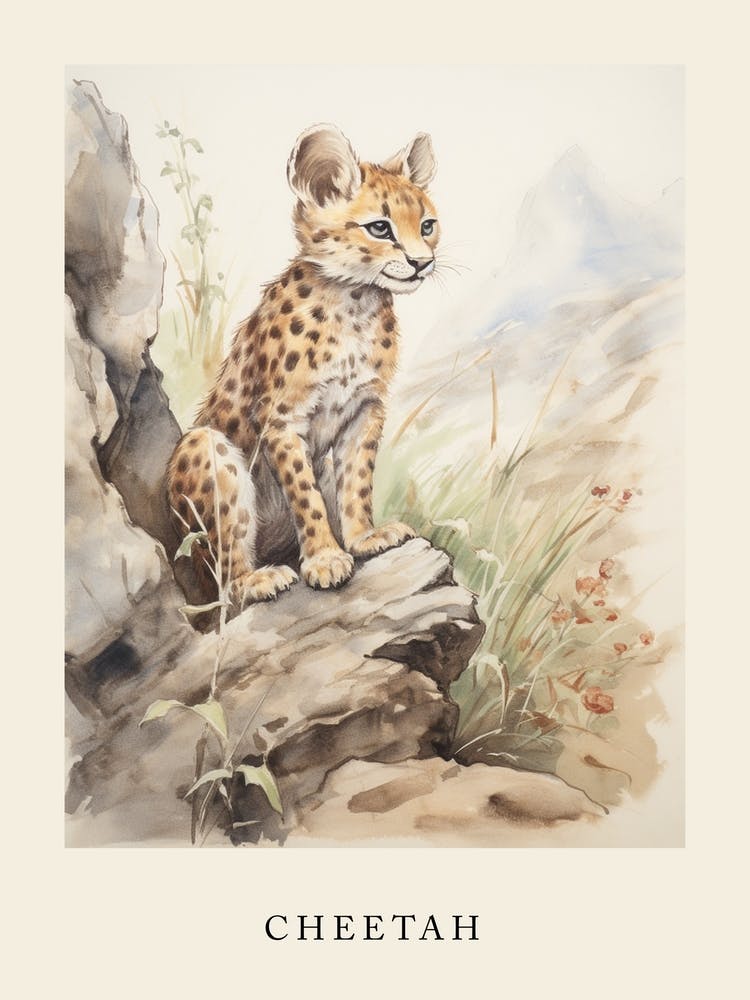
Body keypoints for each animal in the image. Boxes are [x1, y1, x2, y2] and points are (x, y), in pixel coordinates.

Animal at [166, 123, 440, 608]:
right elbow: (305, 494)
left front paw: (363, 537)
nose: (421, 262)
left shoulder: (366, 408)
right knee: (224, 576)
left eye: (427, 225)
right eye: (380, 228)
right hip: (204, 446)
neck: (355, 300)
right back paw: (256, 579)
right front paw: (325, 559)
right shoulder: (281, 419)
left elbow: (357, 480)